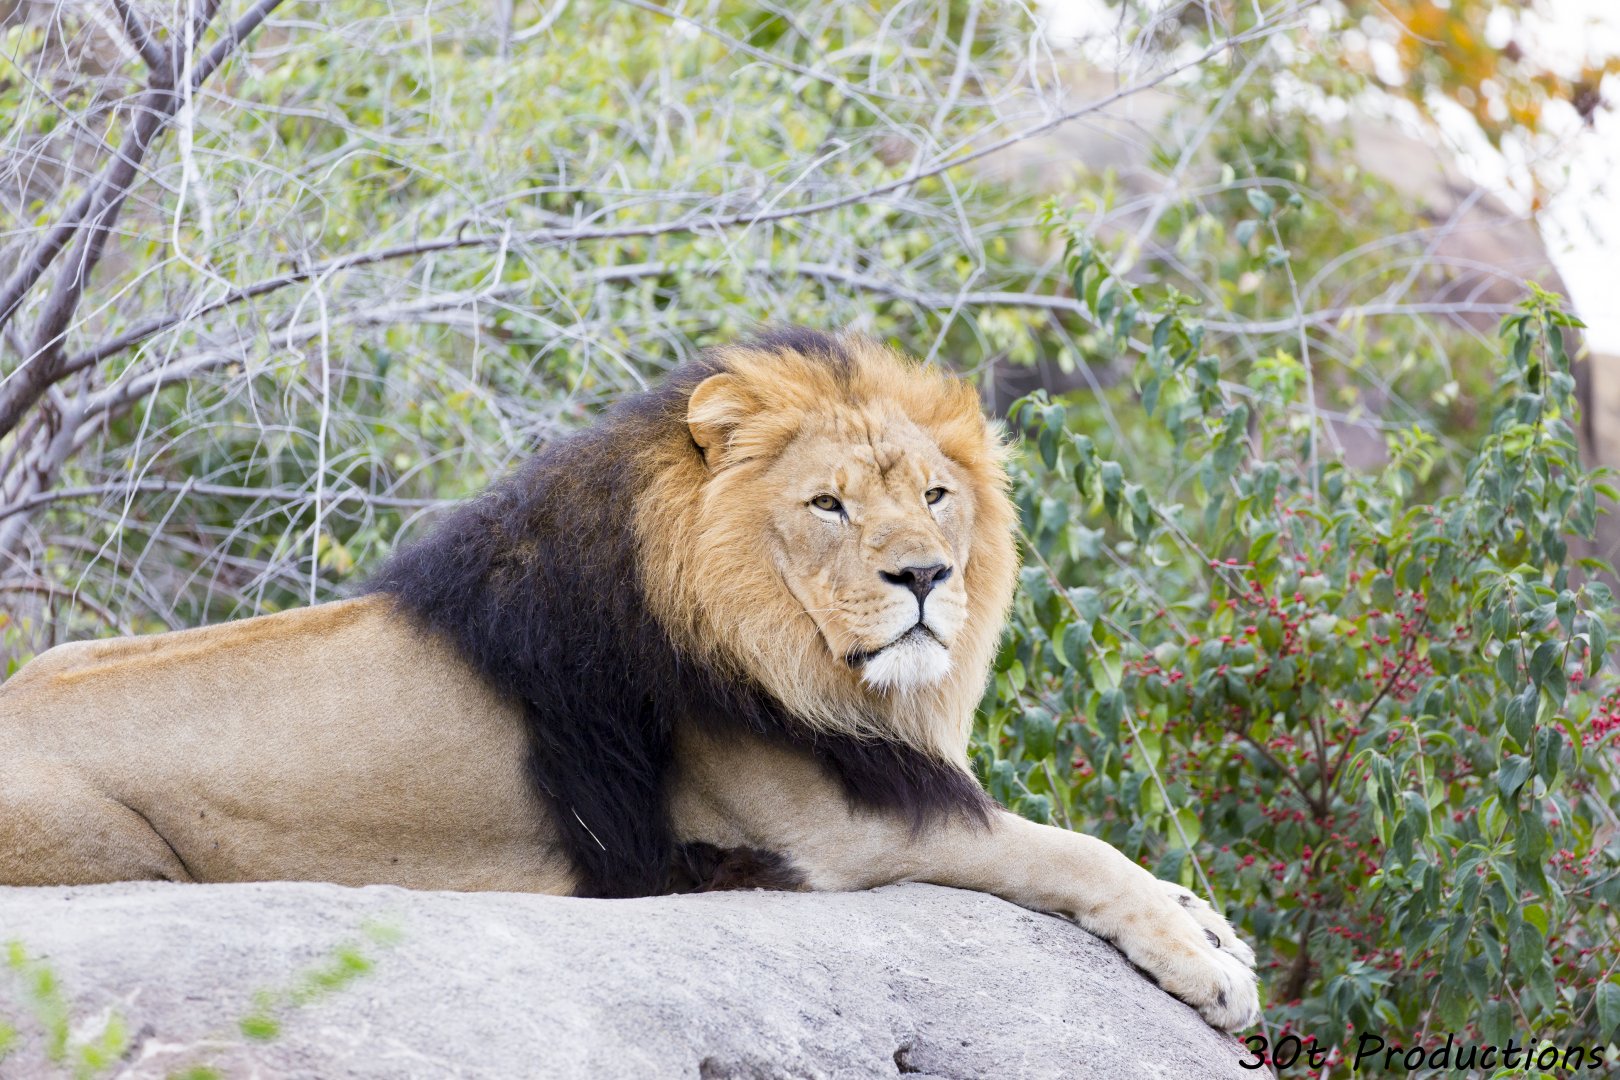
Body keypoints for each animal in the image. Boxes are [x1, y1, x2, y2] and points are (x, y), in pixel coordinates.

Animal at [0, 329, 1259, 1030]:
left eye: (936, 495)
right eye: (830, 504)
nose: (924, 576)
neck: (797, 653)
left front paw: (1204, 918)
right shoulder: (834, 833)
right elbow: (1062, 847)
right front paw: (1205, 963)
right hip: (114, 846)